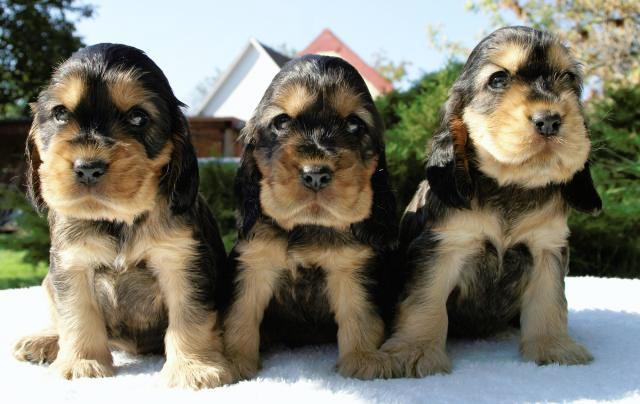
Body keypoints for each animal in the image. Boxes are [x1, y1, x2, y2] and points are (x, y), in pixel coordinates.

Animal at [12, 43, 231, 388]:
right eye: (60, 113)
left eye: (138, 117)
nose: (88, 167)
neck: (116, 221)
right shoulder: (72, 264)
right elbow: (76, 314)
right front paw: (82, 362)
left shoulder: (181, 262)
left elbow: (189, 317)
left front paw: (193, 367)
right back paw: (43, 341)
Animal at [222, 55, 398, 380]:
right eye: (281, 122)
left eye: (354, 124)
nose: (315, 174)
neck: (306, 227)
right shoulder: (255, 263)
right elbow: (241, 314)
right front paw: (234, 361)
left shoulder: (350, 267)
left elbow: (359, 314)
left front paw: (363, 358)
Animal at [376, 26, 600, 378]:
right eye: (498, 79)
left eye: (567, 78)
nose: (549, 121)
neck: (509, 186)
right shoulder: (442, 248)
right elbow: (425, 301)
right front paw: (414, 351)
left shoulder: (547, 248)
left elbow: (549, 303)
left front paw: (554, 348)